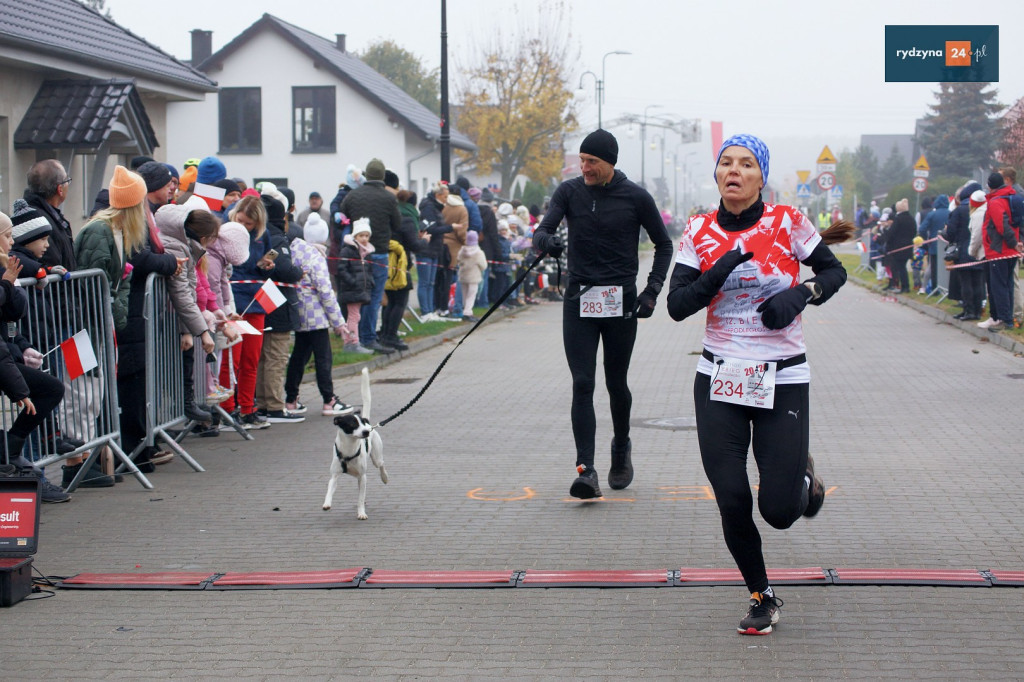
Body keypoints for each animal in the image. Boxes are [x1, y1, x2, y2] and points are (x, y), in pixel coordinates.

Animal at [325, 366, 389, 516]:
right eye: (352, 424)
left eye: (361, 424)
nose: (366, 432)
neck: (349, 449)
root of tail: (370, 424)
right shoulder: (334, 476)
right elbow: (330, 489)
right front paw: (327, 503)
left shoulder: (363, 476)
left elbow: (360, 498)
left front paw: (361, 513)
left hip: (376, 458)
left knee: (381, 465)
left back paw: (384, 477)